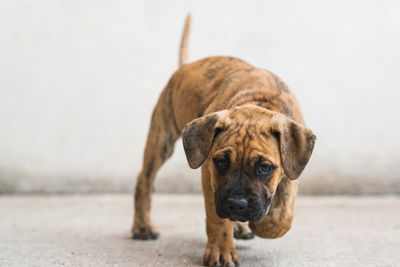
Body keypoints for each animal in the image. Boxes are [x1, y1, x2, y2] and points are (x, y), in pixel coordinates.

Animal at [131, 15, 316, 267]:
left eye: (265, 167)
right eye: (221, 162)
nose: (238, 204)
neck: (258, 102)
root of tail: (186, 66)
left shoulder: (290, 171)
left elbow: (282, 217)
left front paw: (262, 224)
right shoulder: (209, 176)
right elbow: (217, 219)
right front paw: (221, 250)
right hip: (162, 138)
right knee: (145, 180)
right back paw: (142, 227)